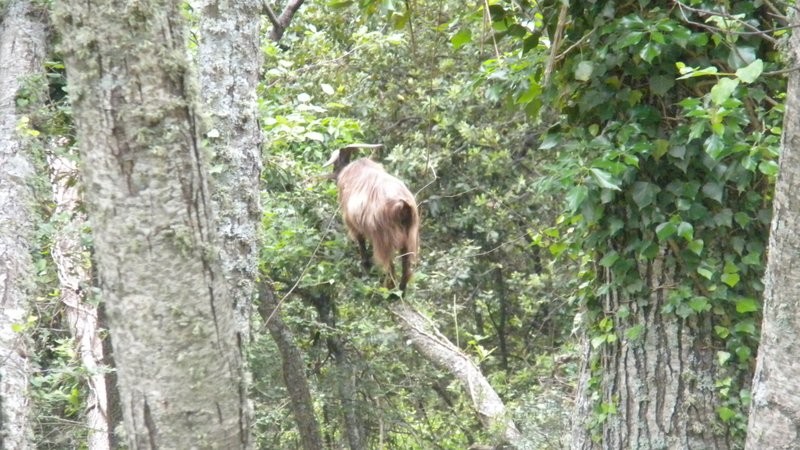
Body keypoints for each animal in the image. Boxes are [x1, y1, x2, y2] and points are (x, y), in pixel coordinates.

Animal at [324, 144, 422, 296]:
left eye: (335, 164)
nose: (332, 175)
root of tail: (403, 206)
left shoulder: (352, 222)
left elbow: (361, 241)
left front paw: (365, 263)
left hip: (384, 239)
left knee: (390, 266)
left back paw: (390, 291)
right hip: (410, 238)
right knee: (407, 267)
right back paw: (401, 291)